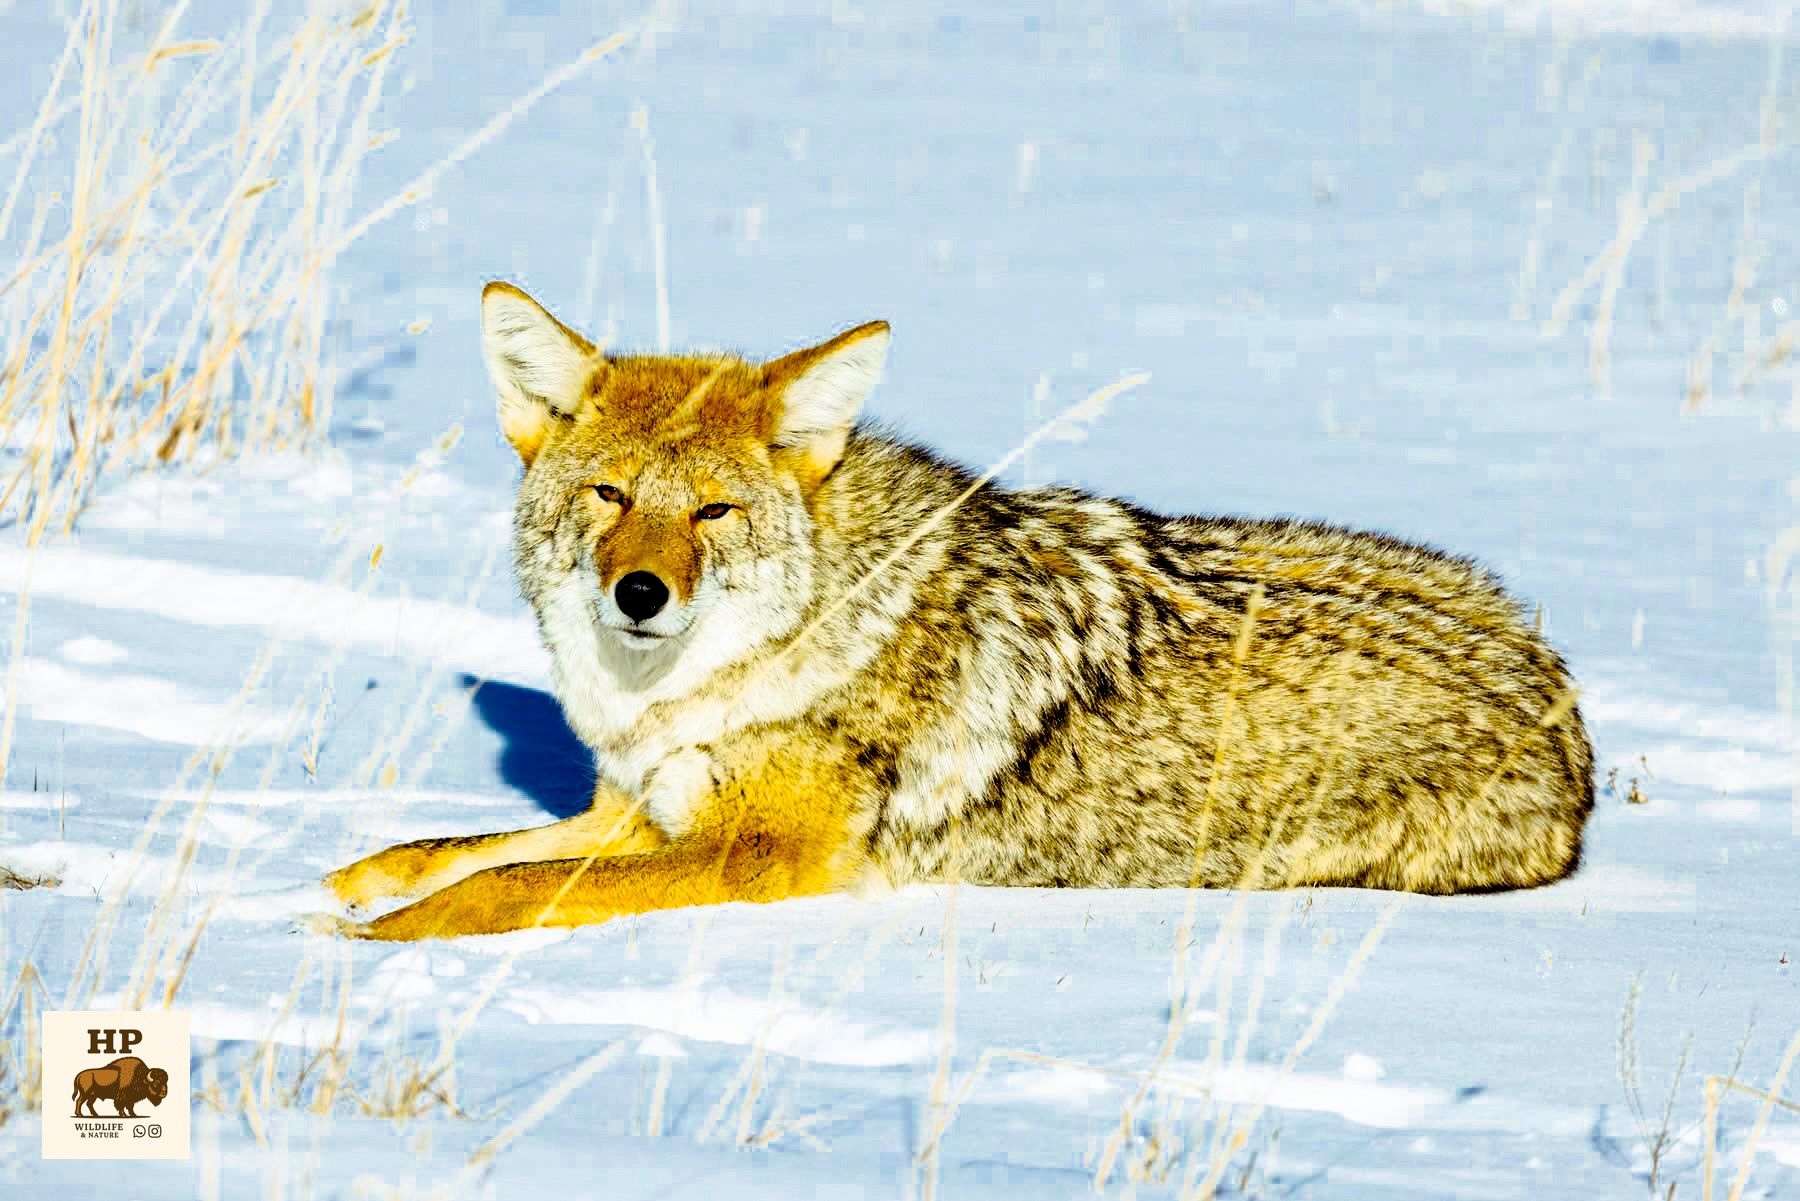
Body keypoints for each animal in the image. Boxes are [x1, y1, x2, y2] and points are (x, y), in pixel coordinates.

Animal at [315, 281, 1594, 940]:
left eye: (715, 512)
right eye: (612, 495)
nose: (640, 593)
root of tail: (1554, 673)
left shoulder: (758, 854)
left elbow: (504, 887)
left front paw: (362, 946)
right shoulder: (640, 811)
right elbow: (448, 851)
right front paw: (331, 886)